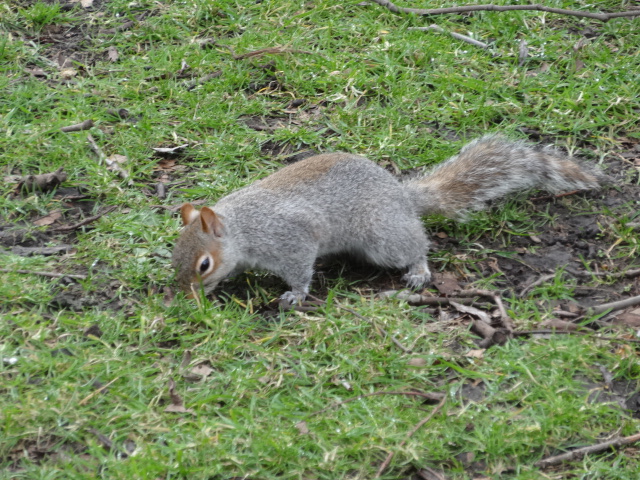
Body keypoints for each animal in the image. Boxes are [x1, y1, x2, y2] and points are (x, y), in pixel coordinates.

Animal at [171, 135, 605, 304]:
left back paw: (419, 270)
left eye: (203, 264)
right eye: (174, 256)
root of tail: (401, 196)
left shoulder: (290, 238)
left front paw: (295, 294)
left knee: (417, 246)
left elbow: (299, 269)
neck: (241, 228)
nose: (187, 297)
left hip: (383, 238)